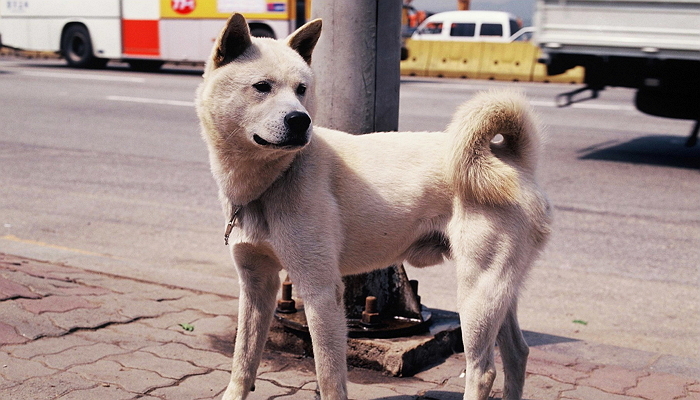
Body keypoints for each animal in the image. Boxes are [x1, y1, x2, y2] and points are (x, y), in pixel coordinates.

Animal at [197, 13, 552, 400]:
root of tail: (513, 159)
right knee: (517, 353)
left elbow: (328, 376)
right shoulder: (256, 285)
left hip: (477, 293)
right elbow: (243, 360)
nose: (301, 120)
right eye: (262, 87)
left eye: (302, 89)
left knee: (483, 370)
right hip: (499, 291)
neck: (270, 182)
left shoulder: (321, 291)